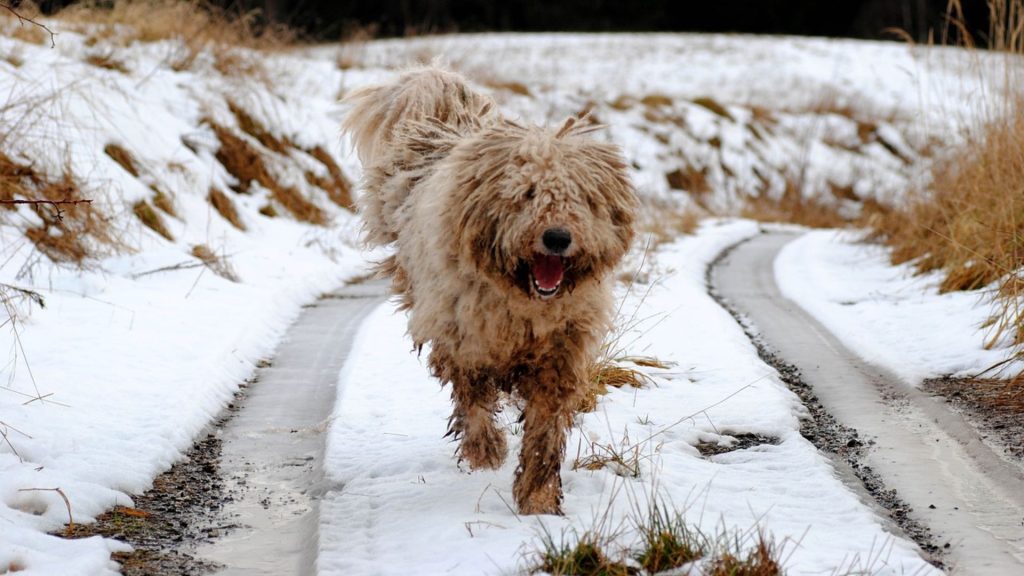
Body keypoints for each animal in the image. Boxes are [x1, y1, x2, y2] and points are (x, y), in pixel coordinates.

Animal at [342, 67, 630, 510]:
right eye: (527, 194)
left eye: (581, 198)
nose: (557, 237)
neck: (523, 301)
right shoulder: (464, 340)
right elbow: (473, 400)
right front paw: (486, 451)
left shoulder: (561, 352)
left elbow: (545, 429)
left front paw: (538, 497)